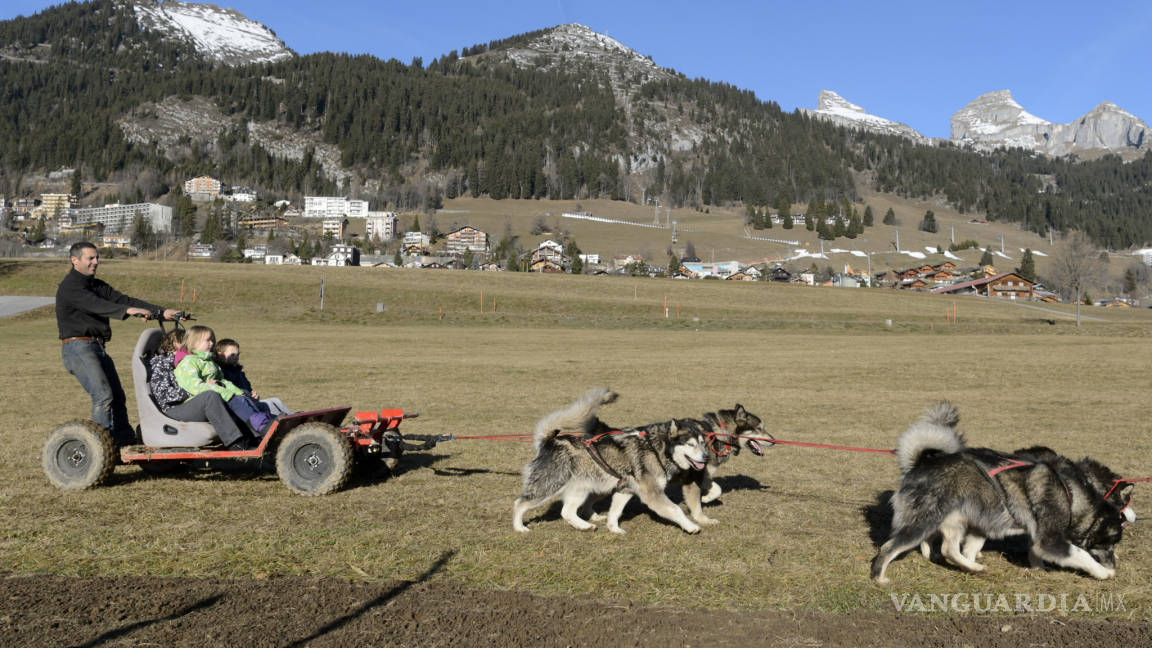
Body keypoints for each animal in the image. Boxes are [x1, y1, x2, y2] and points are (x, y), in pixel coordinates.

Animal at [513, 385, 709, 532]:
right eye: (691, 444)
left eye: (703, 443)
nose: (706, 457)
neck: (656, 448)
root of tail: (549, 441)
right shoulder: (652, 493)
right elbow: (676, 510)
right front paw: (691, 526)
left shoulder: (624, 490)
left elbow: (615, 511)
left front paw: (614, 529)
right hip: (548, 486)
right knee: (519, 503)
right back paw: (519, 527)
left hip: (580, 489)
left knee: (567, 512)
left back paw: (585, 526)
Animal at [870, 401, 1133, 583]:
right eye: (1110, 544)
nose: (1114, 567)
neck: (1070, 494)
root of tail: (919, 464)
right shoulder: (1051, 539)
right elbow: (1080, 554)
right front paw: (1102, 573)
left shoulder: (998, 528)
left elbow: (1025, 550)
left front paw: (1038, 568)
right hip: (923, 522)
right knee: (889, 548)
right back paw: (879, 577)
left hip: (958, 521)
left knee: (950, 550)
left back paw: (973, 568)